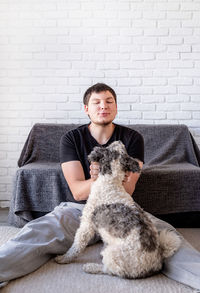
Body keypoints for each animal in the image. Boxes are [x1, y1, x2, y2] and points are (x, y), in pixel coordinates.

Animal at [55, 141, 181, 278]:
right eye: (124, 150)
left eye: (109, 147)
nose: (119, 141)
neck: (111, 181)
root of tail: (156, 262)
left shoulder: (87, 225)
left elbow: (77, 245)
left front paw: (64, 258)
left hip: (114, 255)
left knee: (111, 270)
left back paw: (91, 267)